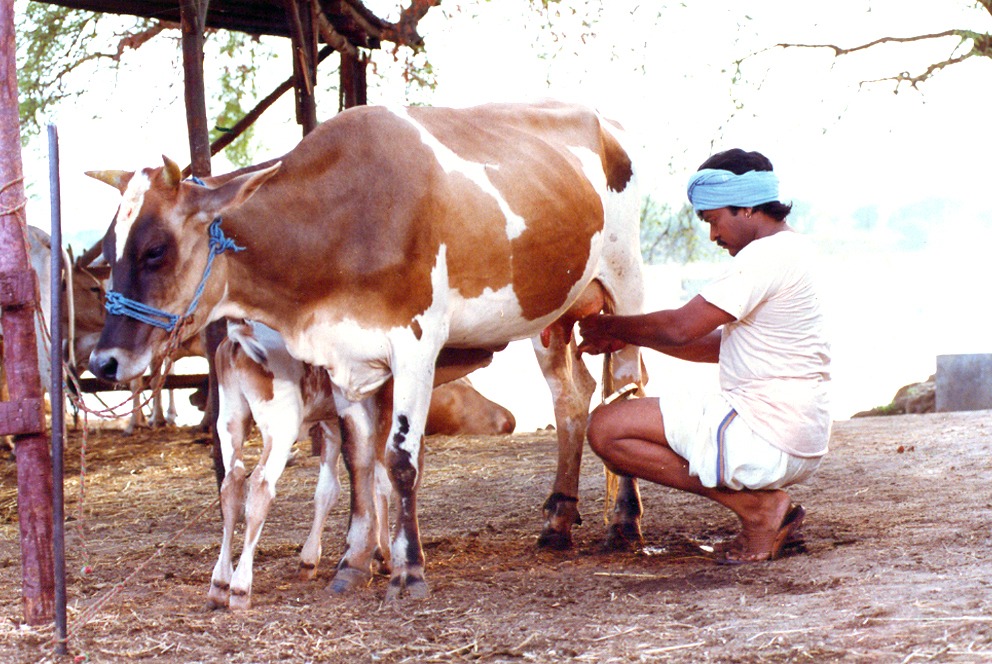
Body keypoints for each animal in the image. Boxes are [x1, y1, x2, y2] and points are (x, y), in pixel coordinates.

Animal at [87, 100, 647, 601]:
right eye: (110, 252)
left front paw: (409, 571)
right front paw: (353, 564)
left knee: (627, 388)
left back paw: (623, 522)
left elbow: (400, 461)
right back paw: (558, 520)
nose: (103, 362)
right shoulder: (346, 360)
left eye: (155, 250)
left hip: (626, 285)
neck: (340, 222)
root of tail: (605, 120)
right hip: (551, 317)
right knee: (571, 400)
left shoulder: (417, 344)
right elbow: (359, 463)